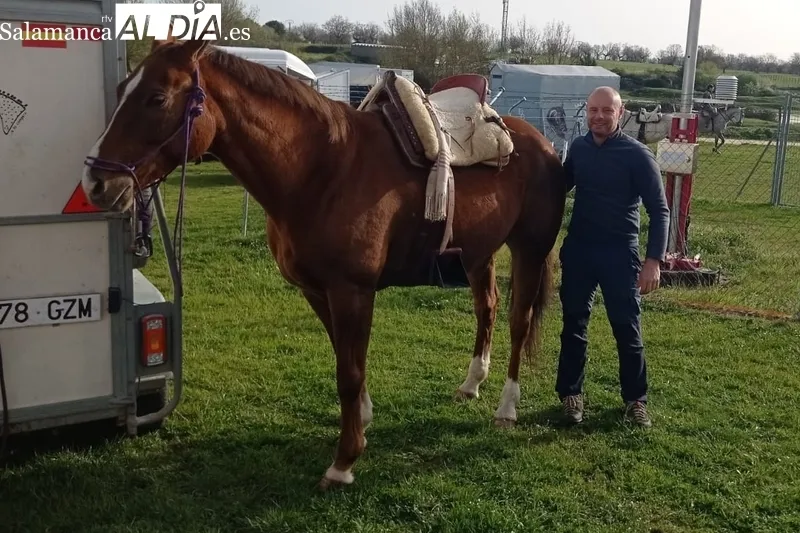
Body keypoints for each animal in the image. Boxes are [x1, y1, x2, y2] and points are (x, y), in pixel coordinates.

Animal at [80, 37, 567, 489]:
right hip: (477, 254)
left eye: (157, 98)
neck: (322, 169)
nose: (95, 183)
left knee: (518, 321)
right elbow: (345, 359)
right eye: (123, 90)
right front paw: (363, 419)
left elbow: (348, 372)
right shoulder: (318, 291)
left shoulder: (352, 291)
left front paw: (344, 461)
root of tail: (538, 142)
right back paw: (472, 383)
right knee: (487, 309)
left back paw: (507, 407)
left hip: (528, 251)